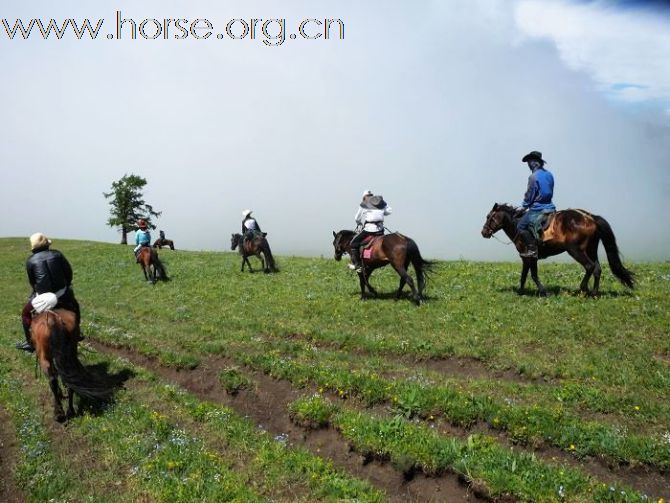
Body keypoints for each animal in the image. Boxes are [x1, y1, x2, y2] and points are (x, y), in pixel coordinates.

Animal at [484, 204, 636, 298]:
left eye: (489, 217)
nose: (483, 232)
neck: (518, 225)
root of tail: (591, 217)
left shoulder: (529, 256)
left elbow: (532, 275)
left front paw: (543, 292)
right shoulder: (527, 258)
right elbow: (524, 275)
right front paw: (521, 291)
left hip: (575, 250)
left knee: (589, 266)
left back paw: (583, 288)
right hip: (591, 249)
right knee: (597, 269)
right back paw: (594, 293)